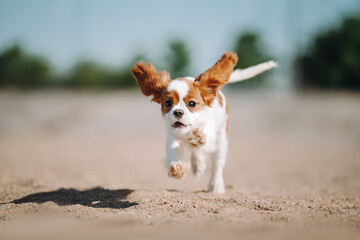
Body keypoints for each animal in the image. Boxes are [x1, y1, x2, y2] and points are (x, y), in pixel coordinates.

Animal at [131, 52, 276, 193]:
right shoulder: (172, 139)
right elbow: (175, 152)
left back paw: (216, 186)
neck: (189, 131)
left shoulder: (211, 135)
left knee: (217, 166)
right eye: (168, 103)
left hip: (221, 142)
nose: (178, 112)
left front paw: (199, 136)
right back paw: (197, 164)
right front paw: (178, 167)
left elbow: (205, 140)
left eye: (191, 104)